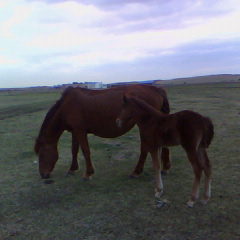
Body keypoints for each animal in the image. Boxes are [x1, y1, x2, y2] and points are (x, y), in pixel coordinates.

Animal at [34, 84, 171, 180]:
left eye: (41, 154)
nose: (43, 175)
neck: (67, 106)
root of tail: (157, 89)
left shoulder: (80, 131)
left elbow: (85, 151)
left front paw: (88, 173)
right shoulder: (75, 131)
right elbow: (74, 150)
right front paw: (72, 169)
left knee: (145, 148)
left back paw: (136, 171)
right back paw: (165, 168)